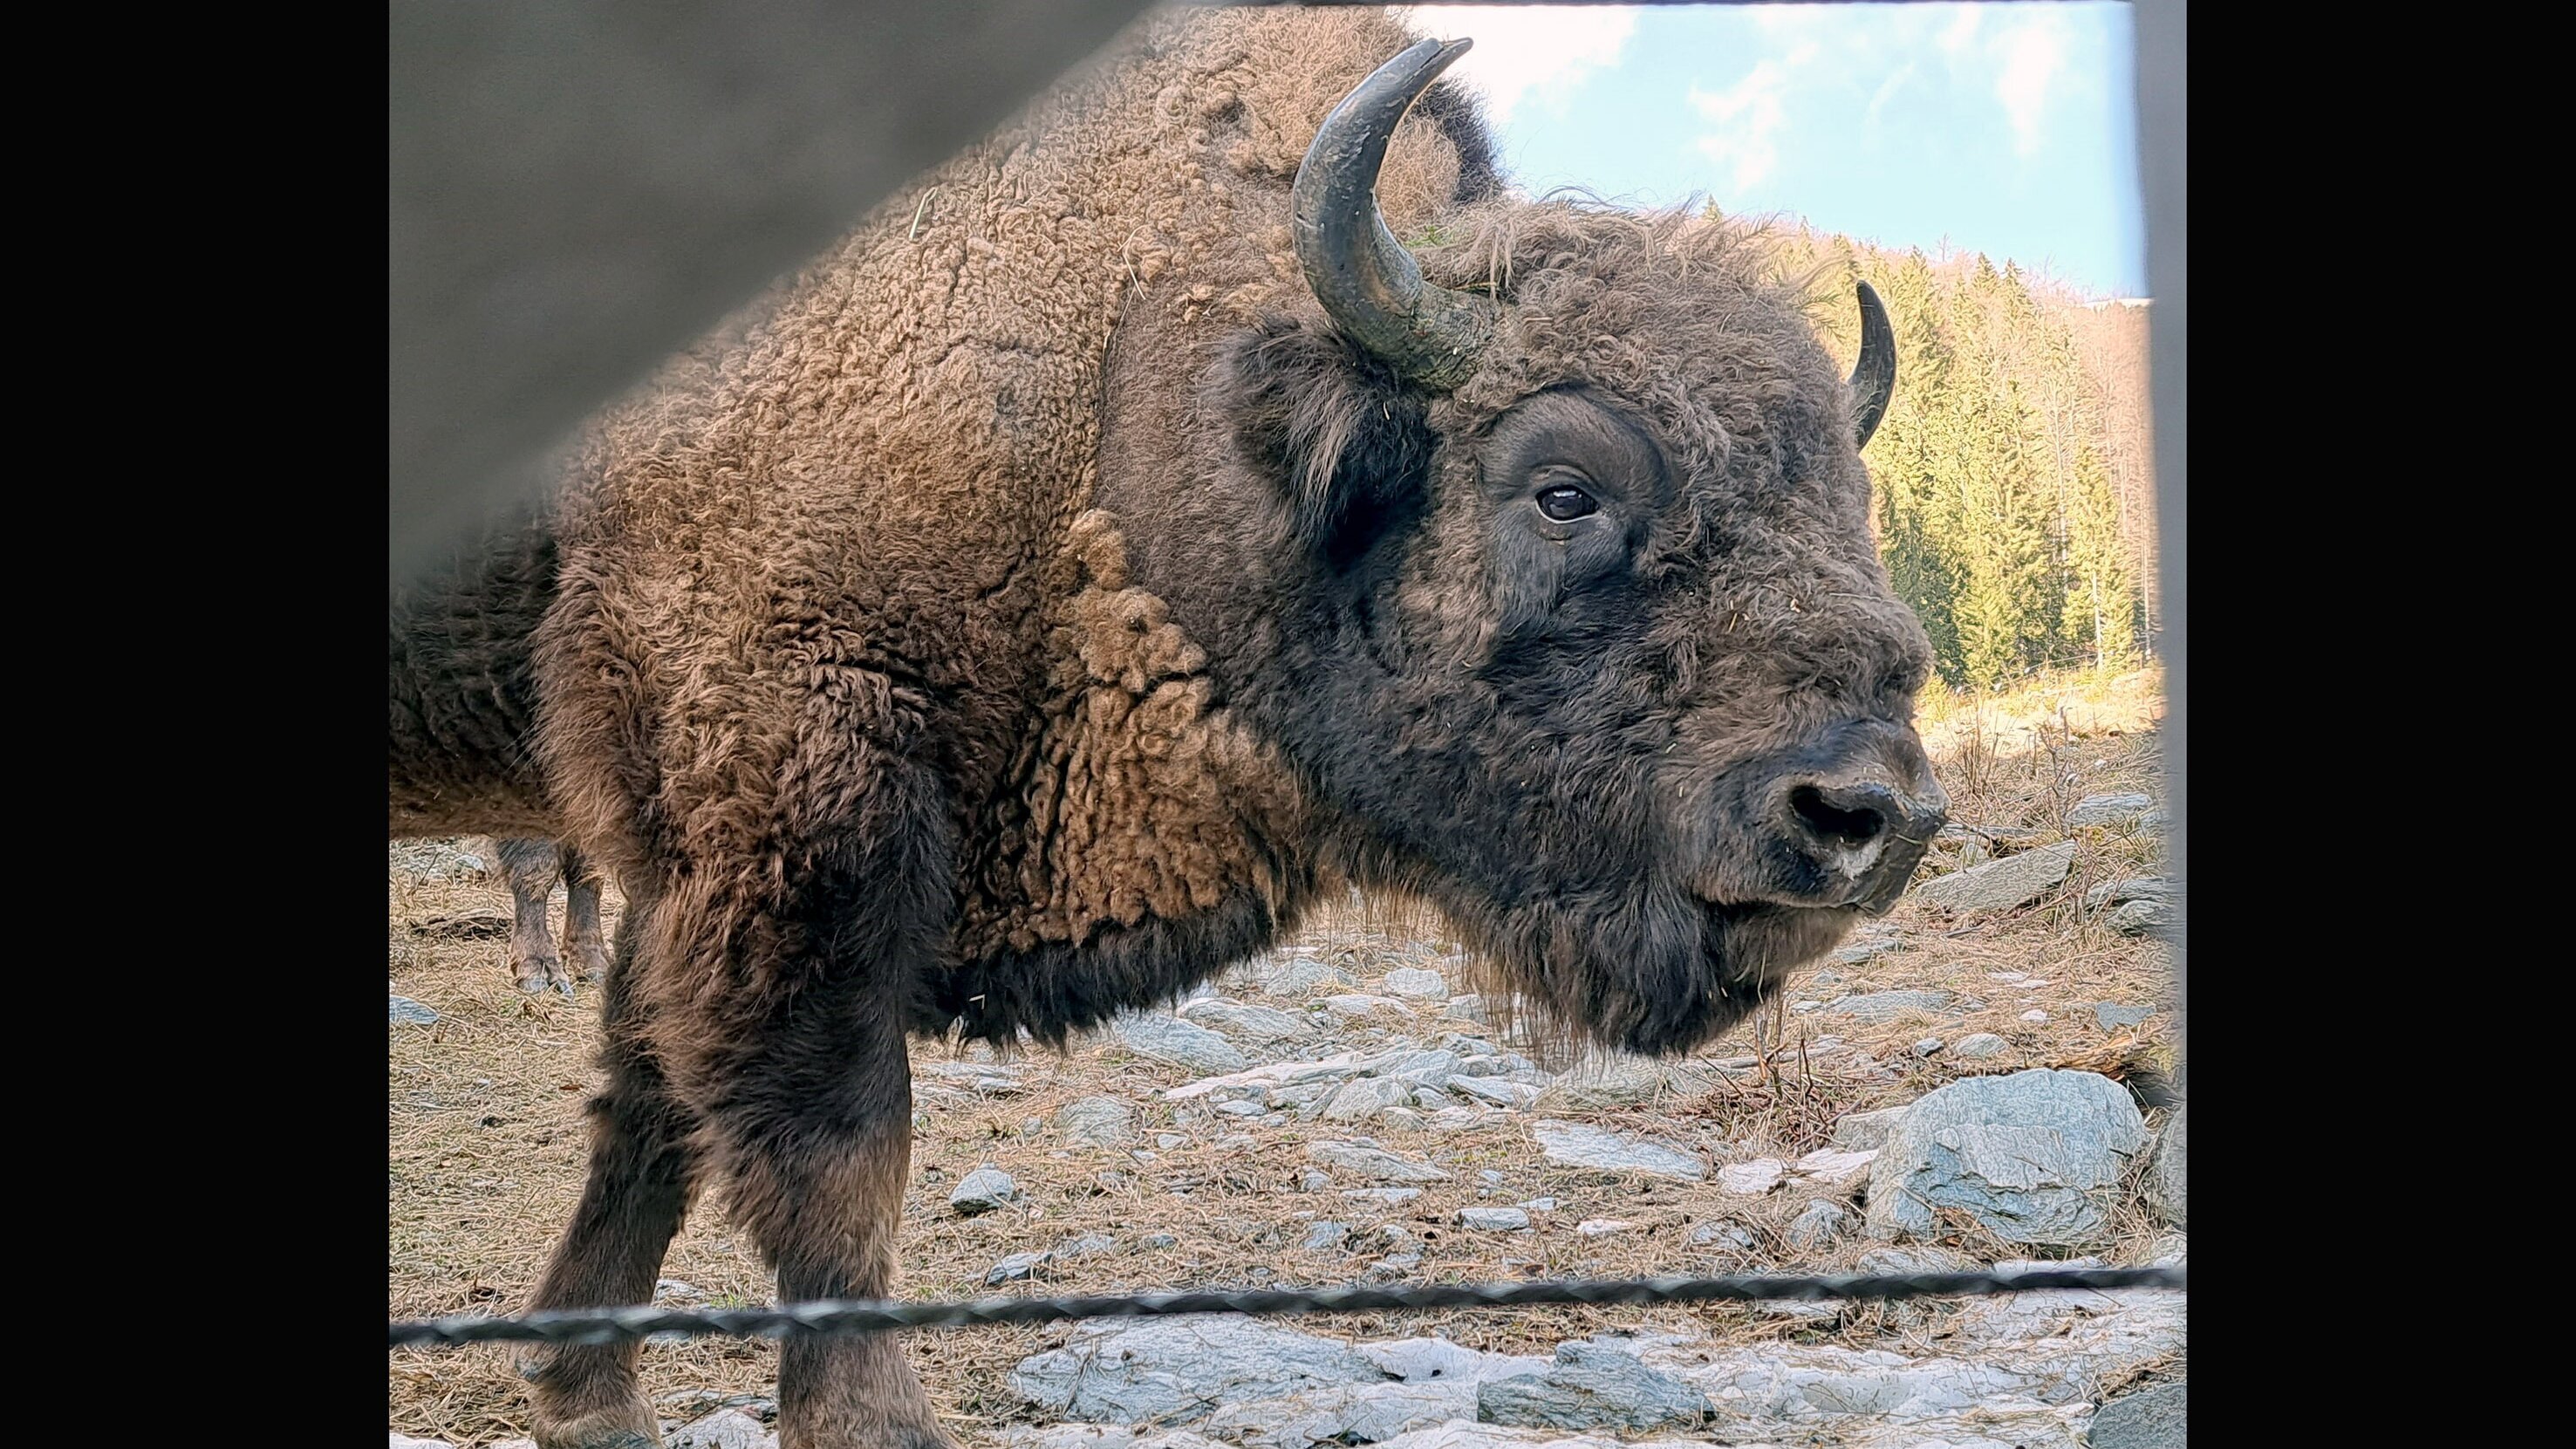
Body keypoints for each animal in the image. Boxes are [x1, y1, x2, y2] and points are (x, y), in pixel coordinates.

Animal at [386, 5, 1937, 1433]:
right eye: (1564, 489)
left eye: (1847, 499)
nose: (1872, 814)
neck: (1123, 365)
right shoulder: (793, 810)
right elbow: (832, 1158)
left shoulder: (685, 856)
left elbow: (649, 1111)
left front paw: (584, 1394)